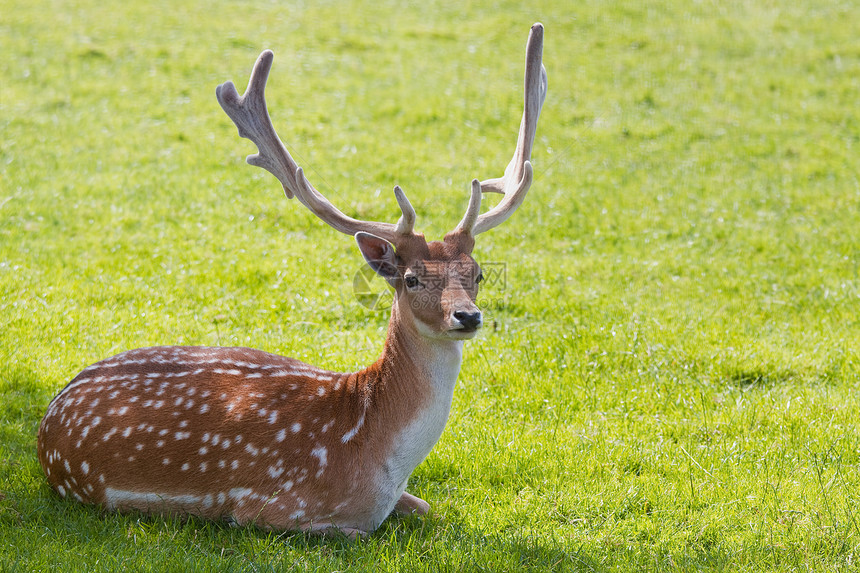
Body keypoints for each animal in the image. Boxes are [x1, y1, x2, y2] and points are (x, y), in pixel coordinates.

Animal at [37, 22, 548, 536]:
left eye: (477, 273)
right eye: (411, 278)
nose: (468, 316)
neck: (373, 456)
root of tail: (48, 417)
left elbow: (427, 506)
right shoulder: (268, 508)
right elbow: (355, 531)